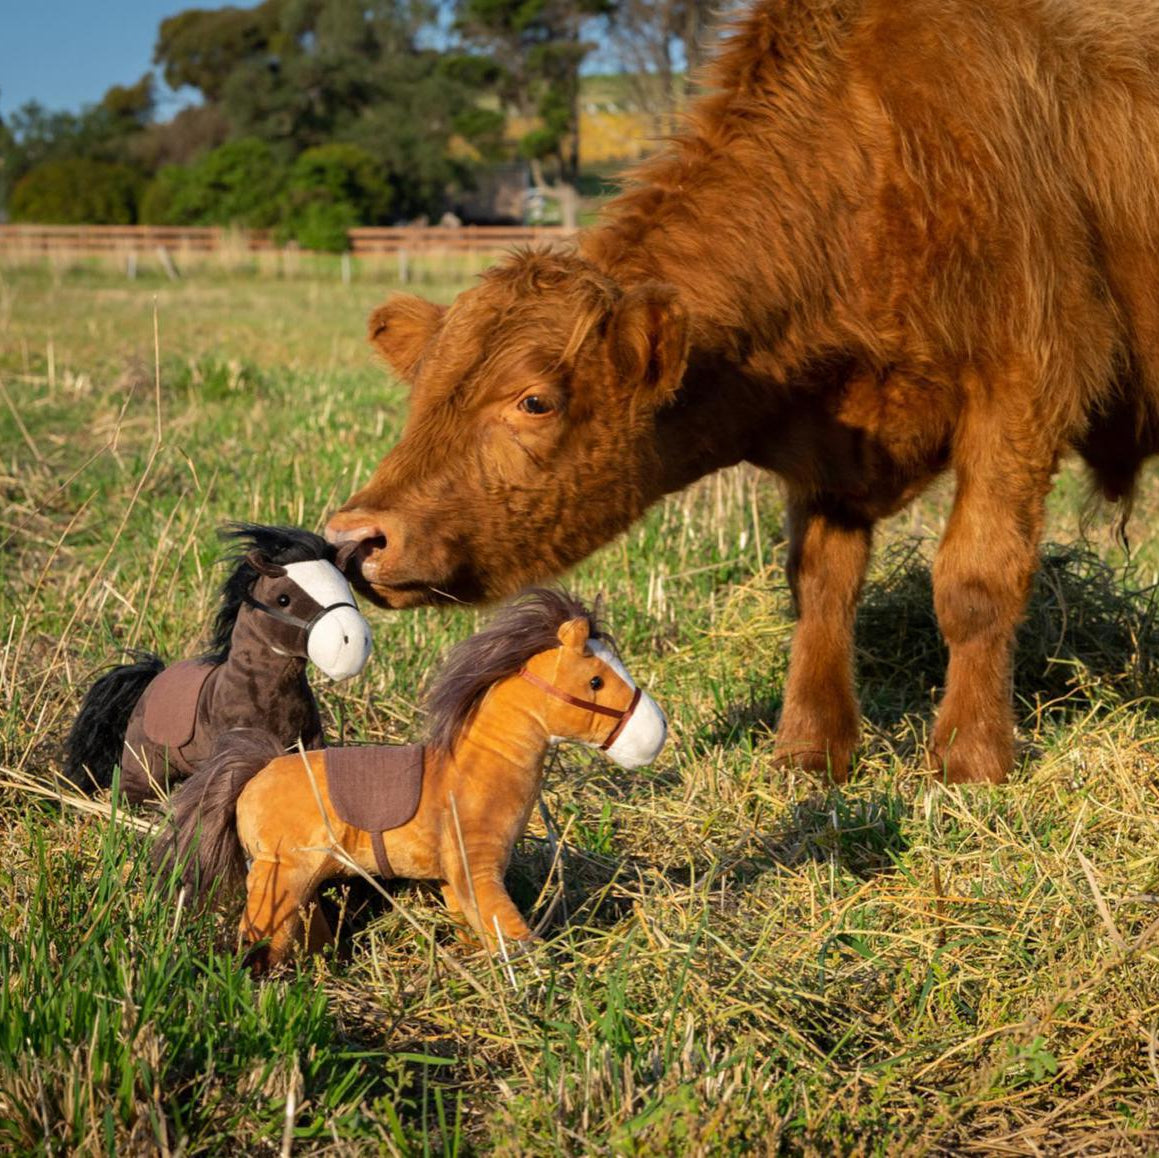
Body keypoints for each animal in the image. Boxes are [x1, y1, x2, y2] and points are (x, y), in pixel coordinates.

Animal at [324, 0, 1159, 783]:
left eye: (534, 400)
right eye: (421, 387)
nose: (354, 537)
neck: (877, 152)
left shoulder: (1022, 387)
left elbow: (974, 581)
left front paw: (968, 758)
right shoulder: (829, 450)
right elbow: (820, 587)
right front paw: (809, 749)